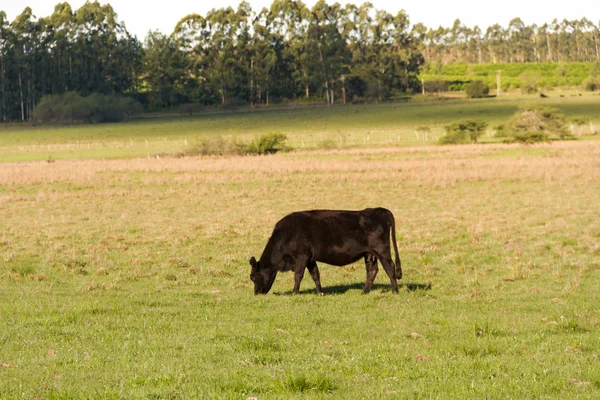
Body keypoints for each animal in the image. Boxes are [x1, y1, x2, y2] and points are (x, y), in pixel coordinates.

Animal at [250, 208, 404, 296]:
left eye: (252, 277)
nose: (256, 293)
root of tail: (379, 210)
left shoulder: (301, 256)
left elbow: (298, 275)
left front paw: (294, 292)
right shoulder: (310, 259)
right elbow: (315, 275)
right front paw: (320, 293)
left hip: (382, 250)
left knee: (390, 268)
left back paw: (395, 291)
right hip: (369, 253)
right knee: (372, 270)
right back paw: (364, 292)